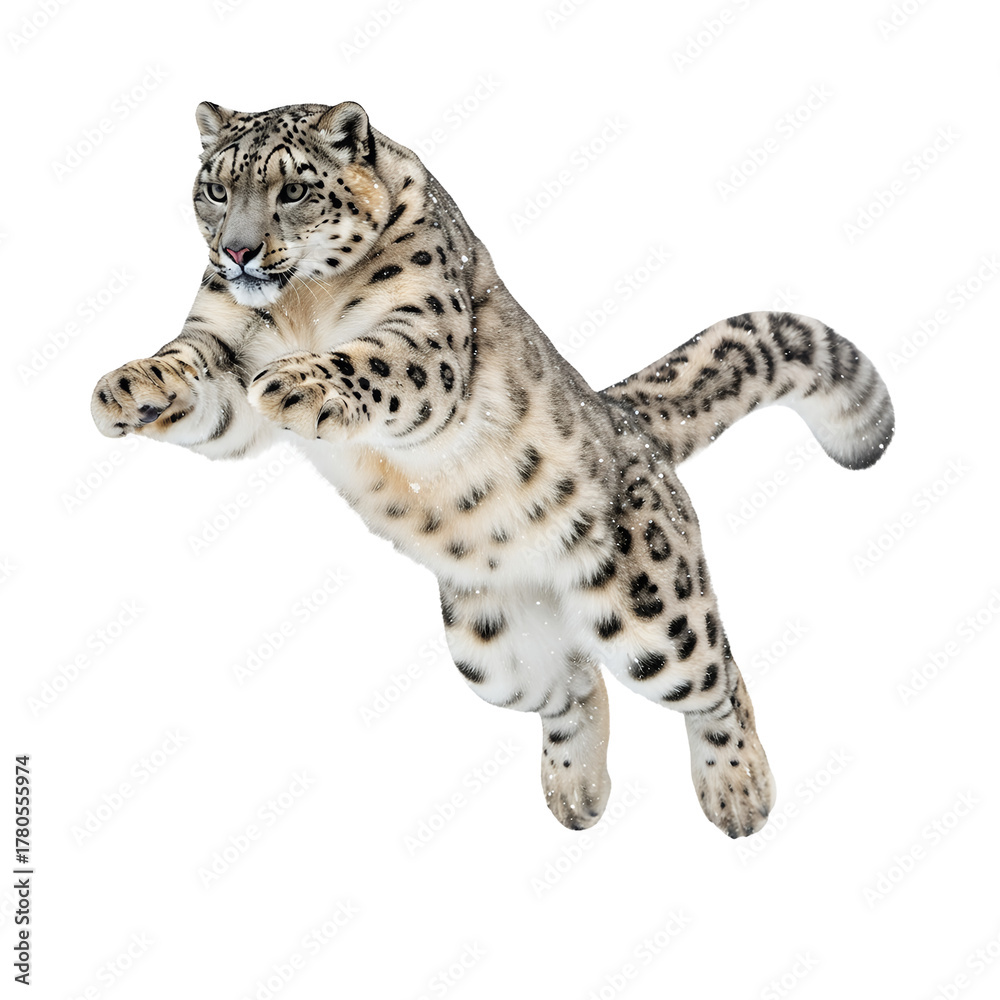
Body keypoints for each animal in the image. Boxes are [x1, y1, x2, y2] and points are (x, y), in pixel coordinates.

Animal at [91, 101, 894, 837]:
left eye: (293, 189)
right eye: (215, 189)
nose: (238, 253)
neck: (299, 307)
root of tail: (626, 420)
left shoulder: (424, 338)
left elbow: (371, 362)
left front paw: (301, 382)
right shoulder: (222, 347)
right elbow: (193, 374)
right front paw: (124, 388)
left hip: (656, 616)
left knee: (716, 671)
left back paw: (739, 791)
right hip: (492, 654)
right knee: (575, 683)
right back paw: (576, 794)